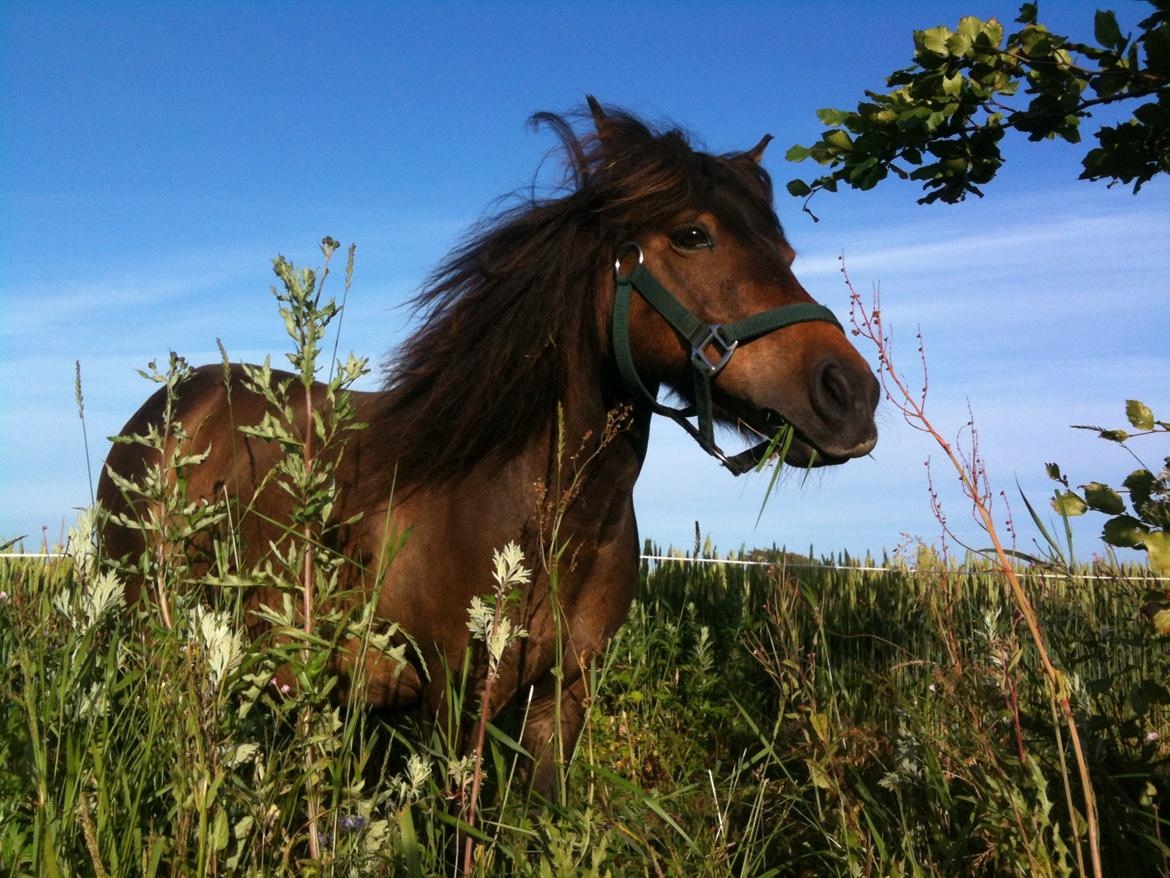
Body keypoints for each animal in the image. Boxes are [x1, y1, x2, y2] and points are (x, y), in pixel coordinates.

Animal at [100, 99, 879, 800]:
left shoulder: (560, 701)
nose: (850, 394)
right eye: (693, 234)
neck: (533, 506)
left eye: (786, 253)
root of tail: (173, 402)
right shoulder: (451, 707)